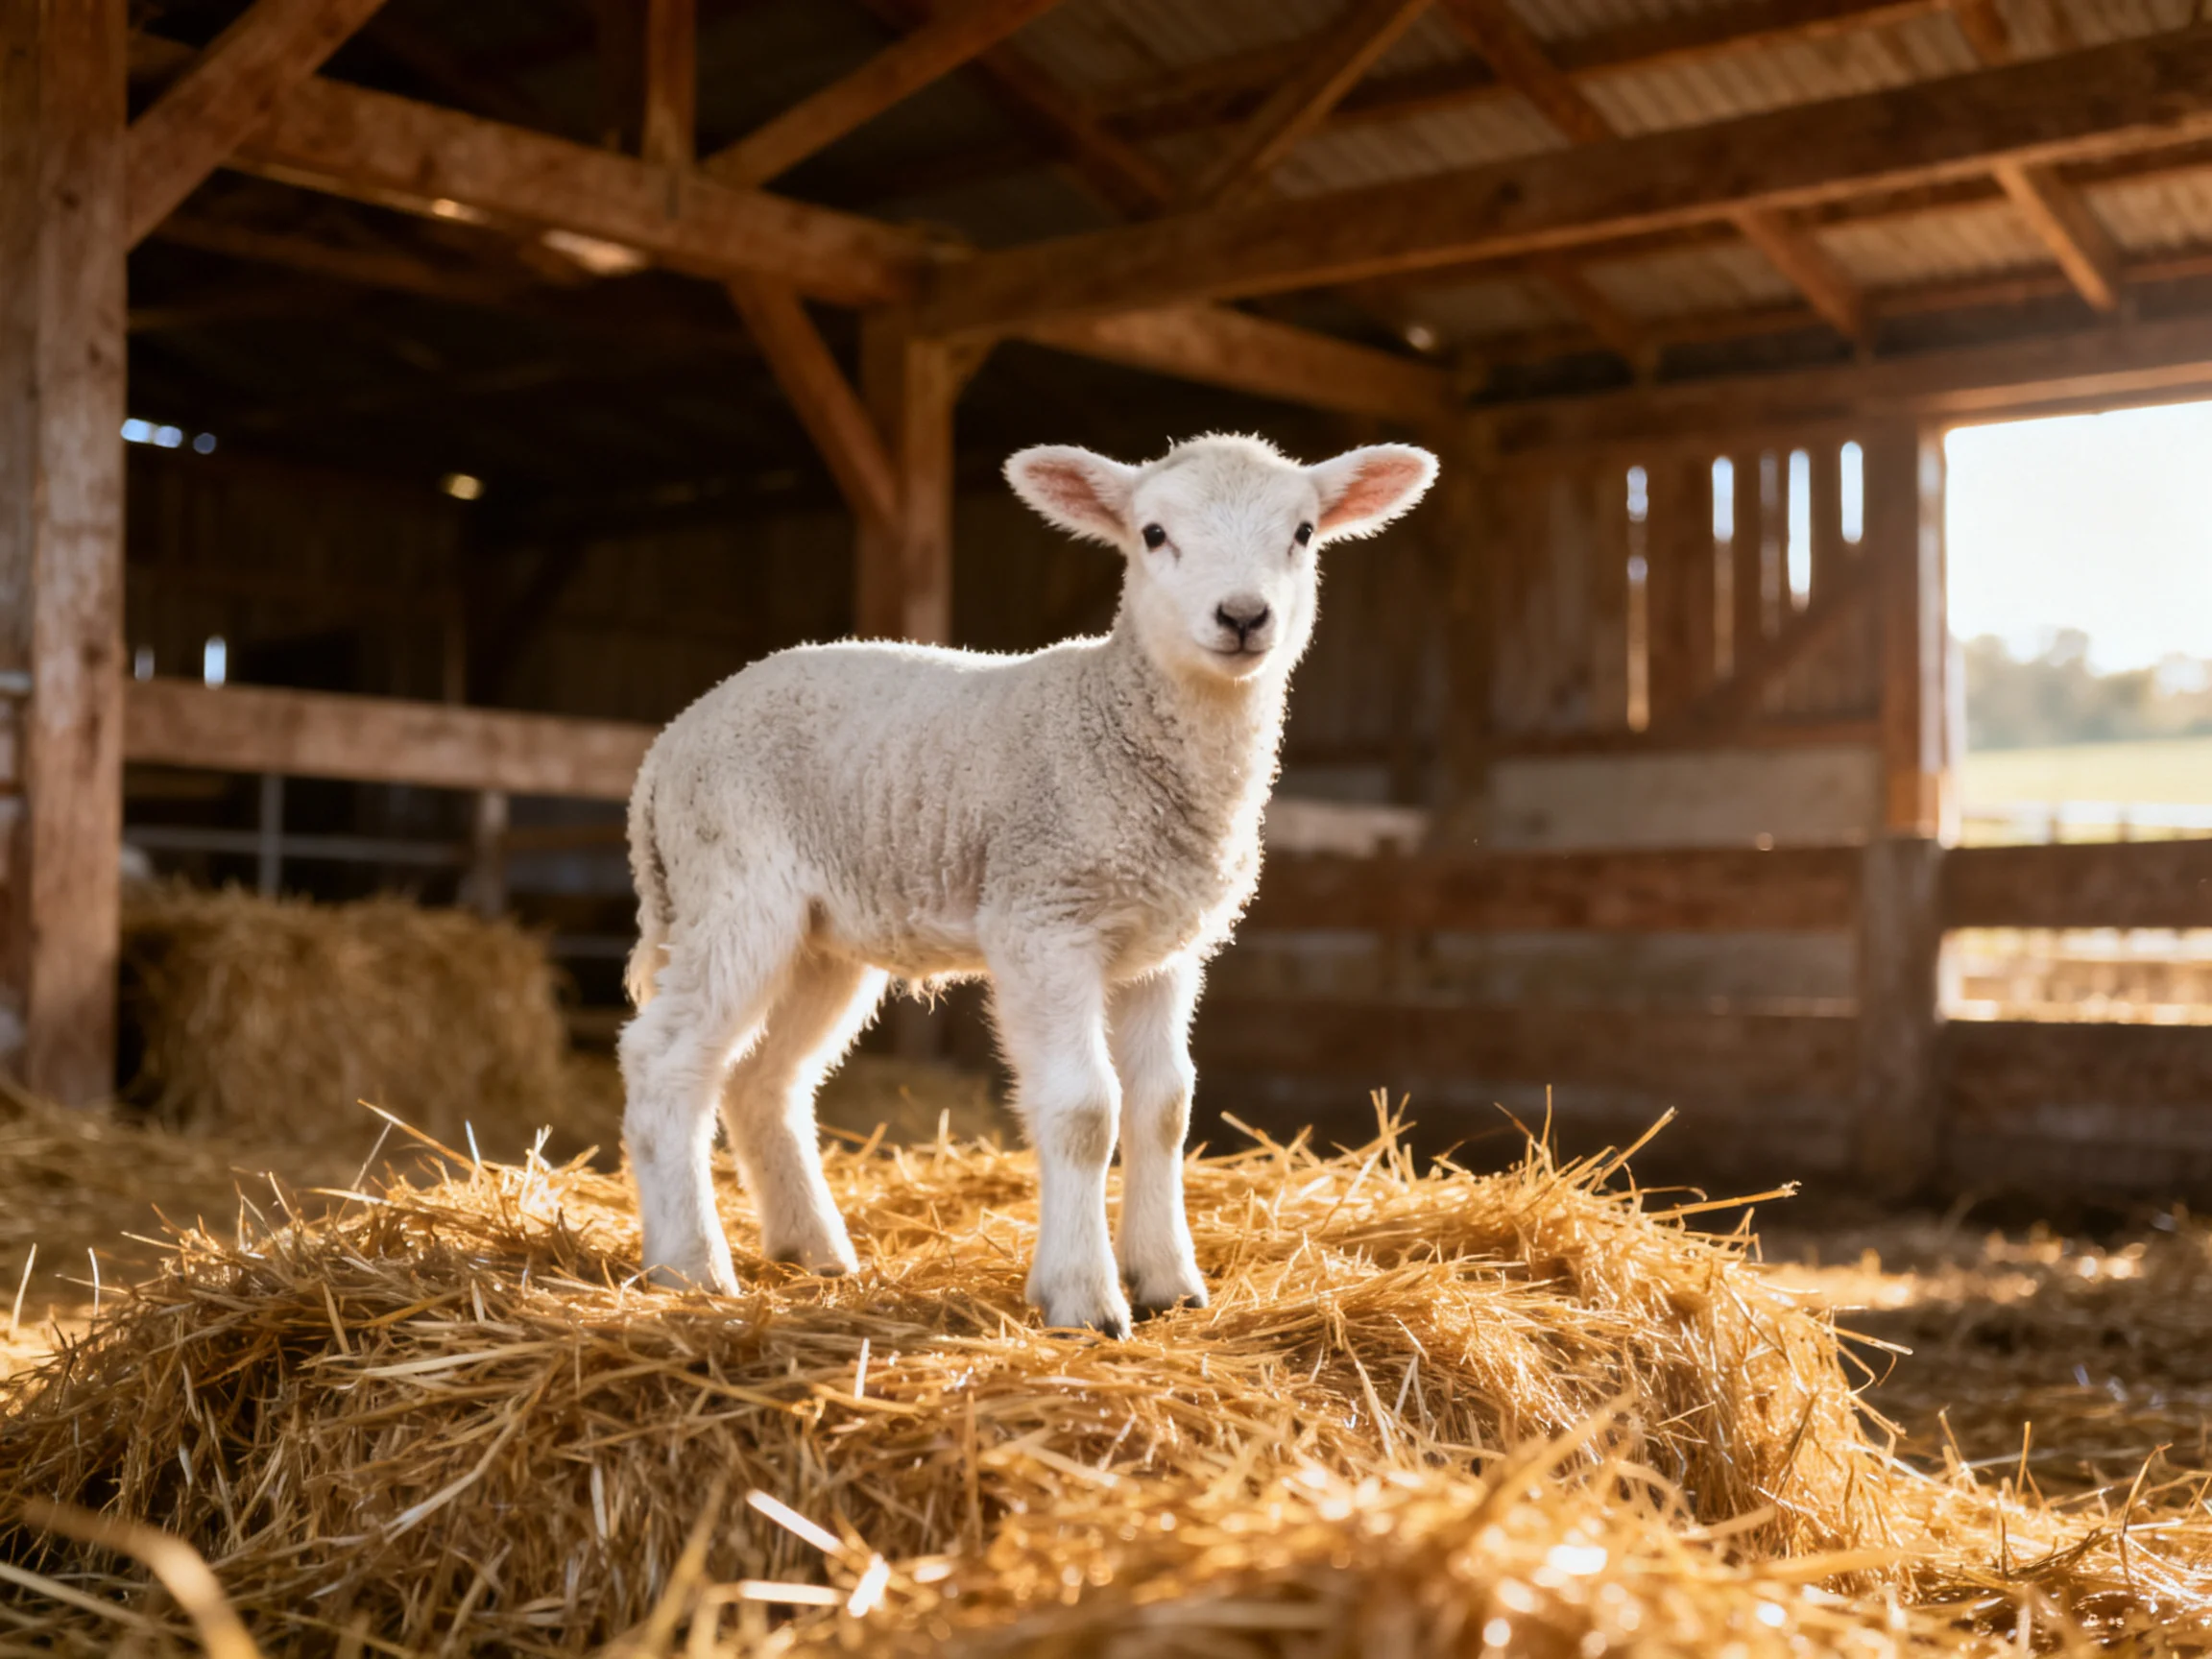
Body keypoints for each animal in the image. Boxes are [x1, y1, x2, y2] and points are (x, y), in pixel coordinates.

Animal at [619, 433, 1438, 1336]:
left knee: (764, 1080)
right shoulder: (1045, 919)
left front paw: (1168, 1283)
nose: (1243, 616)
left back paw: (815, 1251)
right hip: (731, 889)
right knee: (664, 1063)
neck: (1117, 722)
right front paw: (1084, 1299)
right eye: (1153, 534)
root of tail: (666, 746)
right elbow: (1084, 1111)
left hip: (821, 938)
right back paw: (689, 1266)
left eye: (1302, 533)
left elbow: (1164, 1106)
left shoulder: (1163, 948)